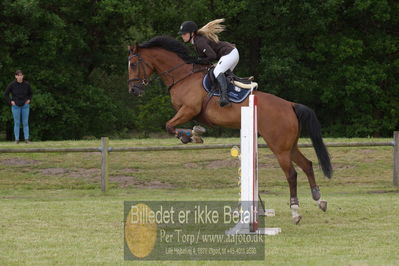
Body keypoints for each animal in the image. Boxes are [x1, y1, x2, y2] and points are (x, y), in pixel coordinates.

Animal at [129, 34, 334, 222]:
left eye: (132, 64)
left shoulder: (188, 110)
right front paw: (195, 133)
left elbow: (169, 126)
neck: (183, 77)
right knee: (307, 165)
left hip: (279, 147)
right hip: (289, 145)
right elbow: (178, 126)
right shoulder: (191, 113)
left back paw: (295, 211)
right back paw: (320, 200)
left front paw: (190, 136)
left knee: (292, 174)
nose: (133, 91)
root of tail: (290, 105)